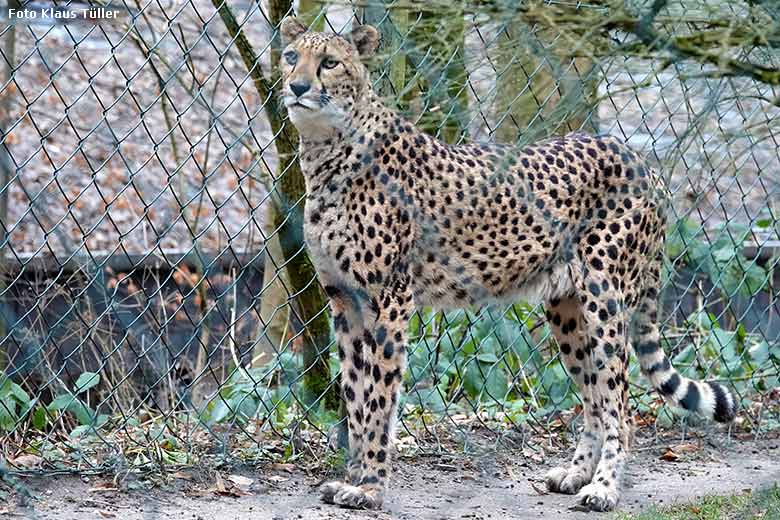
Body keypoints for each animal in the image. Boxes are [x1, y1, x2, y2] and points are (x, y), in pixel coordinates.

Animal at [280, 15, 736, 512]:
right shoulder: (345, 301)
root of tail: (637, 155)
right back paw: (576, 475)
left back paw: (604, 488)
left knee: (620, 403)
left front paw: (370, 486)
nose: (297, 86)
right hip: (568, 309)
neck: (328, 146)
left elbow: (379, 397)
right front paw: (354, 476)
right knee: (596, 398)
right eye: (290, 57)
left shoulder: (389, 300)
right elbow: (355, 396)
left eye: (329, 62)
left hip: (606, 301)